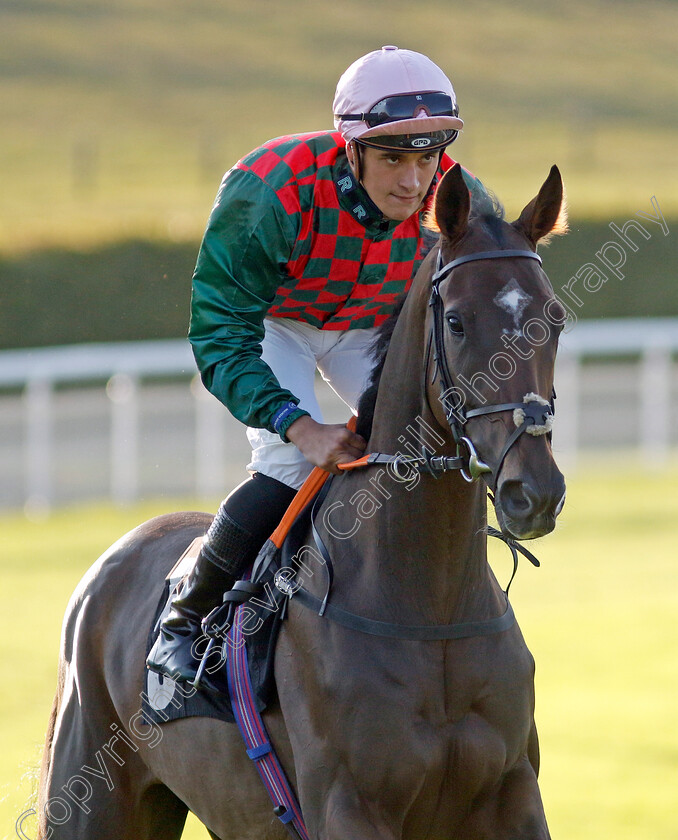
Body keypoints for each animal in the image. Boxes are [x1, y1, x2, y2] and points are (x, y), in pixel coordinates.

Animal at [35, 164, 568, 840]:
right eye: (457, 322)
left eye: (555, 318)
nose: (534, 491)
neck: (430, 608)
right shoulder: (349, 804)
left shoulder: (513, 792)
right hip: (93, 799)